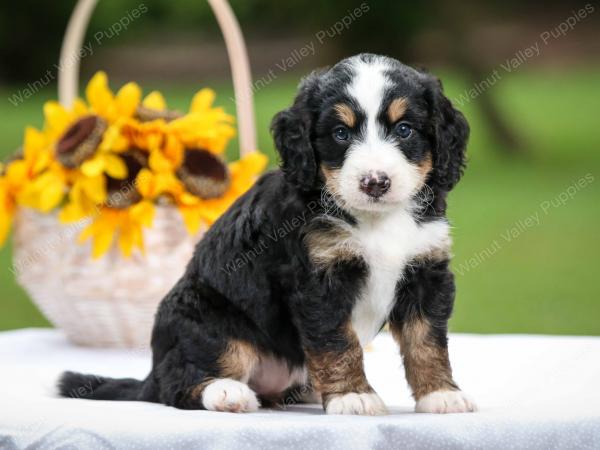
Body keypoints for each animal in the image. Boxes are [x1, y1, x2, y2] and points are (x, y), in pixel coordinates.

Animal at [58, 52, 476, 414]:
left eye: (405, 130)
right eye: (341, 133)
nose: (375, 182)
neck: (377, 219)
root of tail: (152, 371)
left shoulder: (426, 270)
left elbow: (427, 341)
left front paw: (441, 394)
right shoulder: (318, 281)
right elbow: (337, 342)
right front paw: (352, 395)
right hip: (206, 317)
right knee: (177, 385)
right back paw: (227, 393)